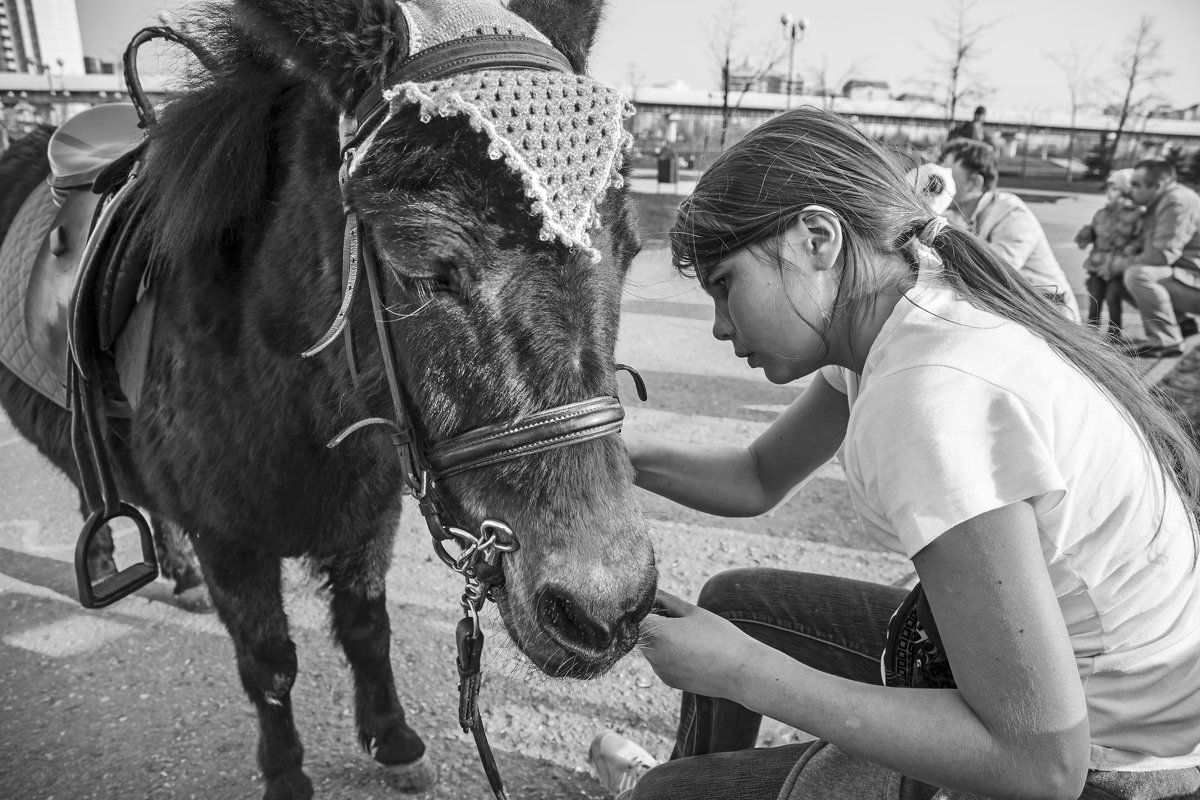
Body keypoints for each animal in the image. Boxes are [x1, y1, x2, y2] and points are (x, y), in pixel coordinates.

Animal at [0, 3, 657, 796]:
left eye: (629, 253)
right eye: (425, 269)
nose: (606, 609)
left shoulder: (368, 515)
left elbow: (368, 629)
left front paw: (393, 737)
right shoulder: (231, 544)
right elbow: (269, 663)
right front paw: (285, 771)